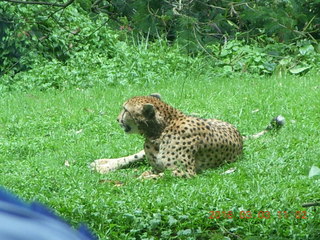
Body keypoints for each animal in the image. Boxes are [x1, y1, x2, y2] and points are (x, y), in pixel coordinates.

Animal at [90, 94, 284, 178]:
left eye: (125, 110)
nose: (117, 119)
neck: (159, 131)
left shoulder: (185, 171)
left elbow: (159, 175)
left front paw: (142, 177)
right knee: (133, 157)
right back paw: (103, 164)